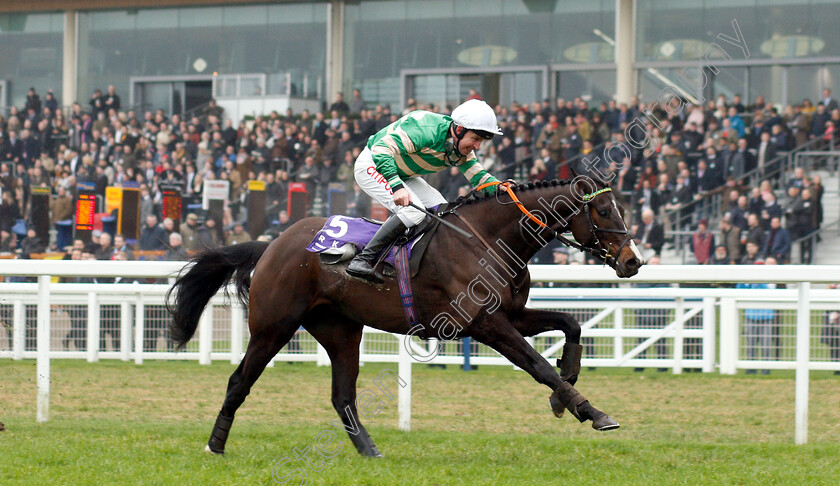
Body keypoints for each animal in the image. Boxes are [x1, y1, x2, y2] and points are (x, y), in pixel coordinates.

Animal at [169, 177, 644, 458]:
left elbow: (570, 323)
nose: (633, 260)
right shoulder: (484, 324)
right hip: (274, 326)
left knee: (342, 395)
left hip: (341, 330)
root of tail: (272, 243)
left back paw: (369, 451)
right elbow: (539, 366)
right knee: (239, 381)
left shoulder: (513, 313)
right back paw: (215, 445)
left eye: (622, 208)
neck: (486, 238)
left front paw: (566, 394)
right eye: (604, 211)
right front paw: (591, 411)